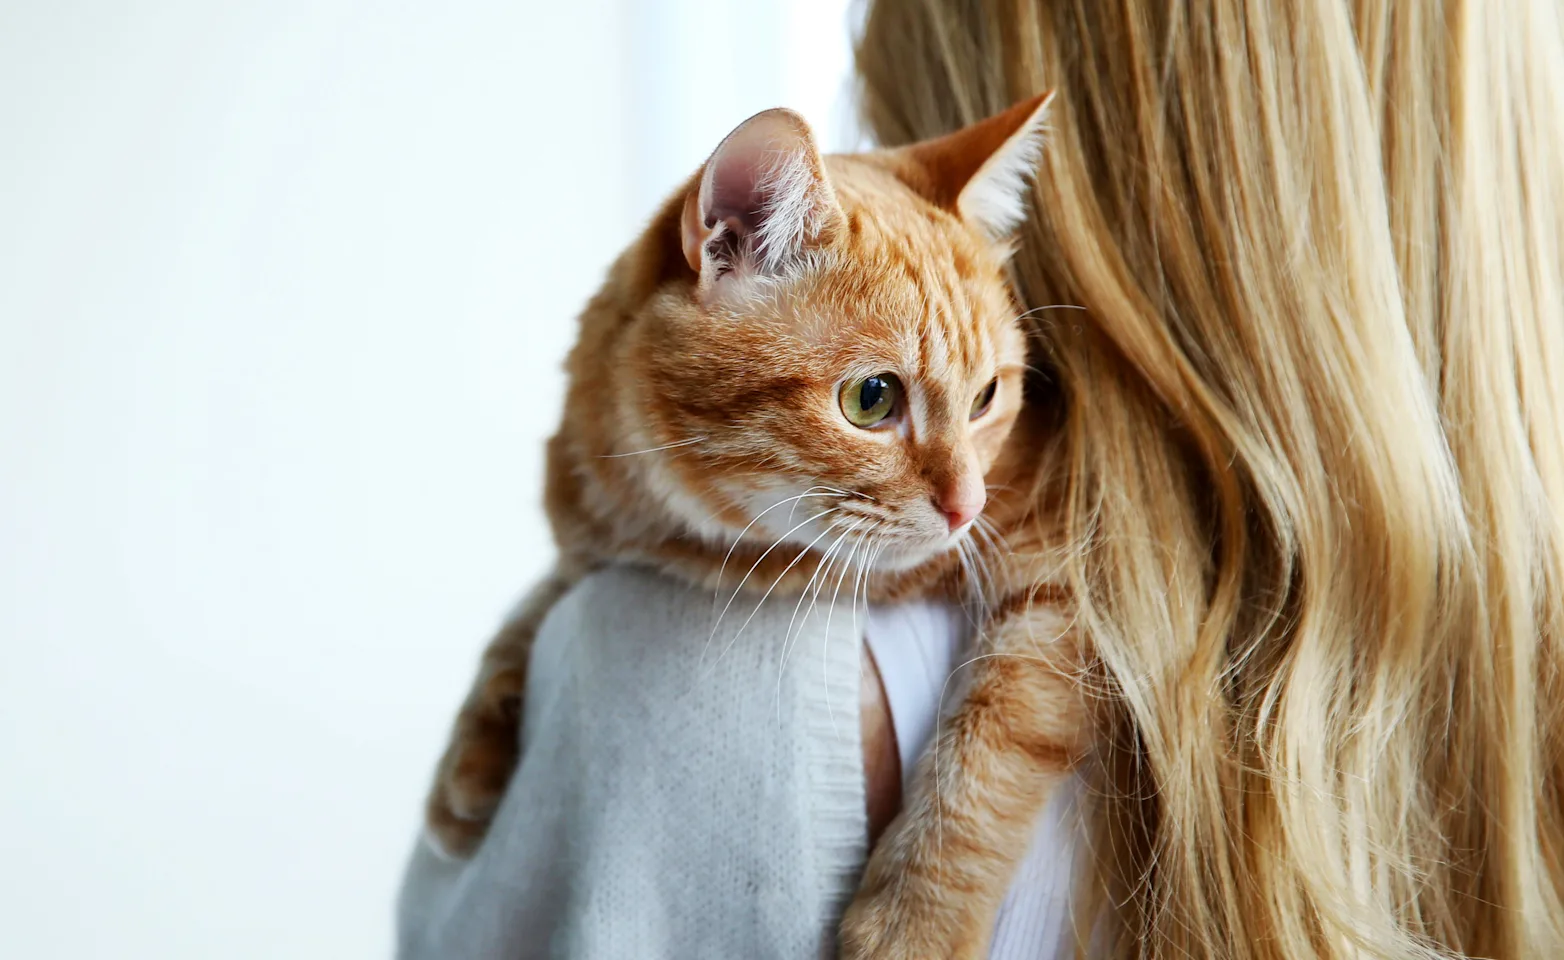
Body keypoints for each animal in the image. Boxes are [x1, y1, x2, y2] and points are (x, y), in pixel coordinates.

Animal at [422, 97, 1094, 960]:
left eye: (987, 398)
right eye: (872, 399)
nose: (966, 508)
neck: (691, 540)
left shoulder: (1074, 574)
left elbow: (991, 746)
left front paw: (915, 919)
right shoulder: (588, 546)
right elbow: (526, 613)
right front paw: (467, 759)